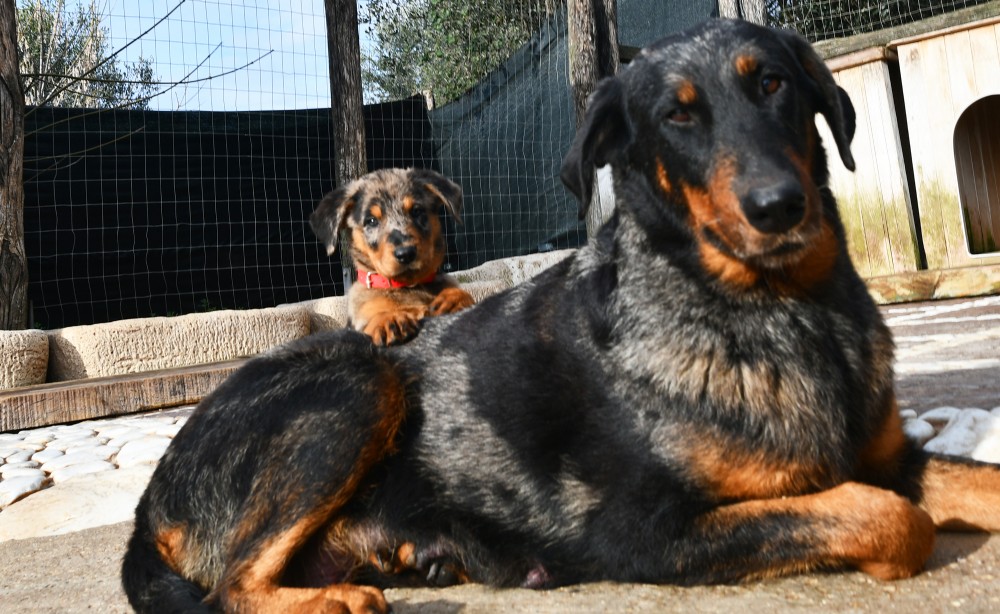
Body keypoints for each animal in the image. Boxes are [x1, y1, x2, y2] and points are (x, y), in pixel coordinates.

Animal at [310, 167, 475, 345]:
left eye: (417, 211)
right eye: (372, 221)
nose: (406, 253)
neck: (408, 286)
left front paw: (454, 299)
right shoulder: (358, 325)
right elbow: (374, 319)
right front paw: (389, 319)